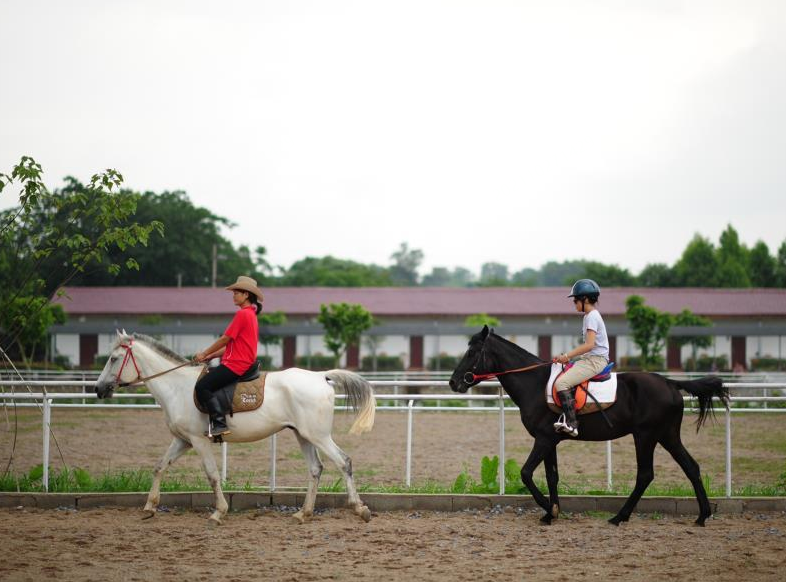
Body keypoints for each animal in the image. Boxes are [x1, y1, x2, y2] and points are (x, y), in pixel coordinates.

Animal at [95, 334, 376, 528]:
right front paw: (149, 507)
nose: (98, 389)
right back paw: (303, 513)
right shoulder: (183, 440)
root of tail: (321, 376)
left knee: (344, 461)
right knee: (316, 469)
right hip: (303, 435)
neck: (177, 387)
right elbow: (159, 466)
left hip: (318, 436)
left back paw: (360, 509)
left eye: (113, 359)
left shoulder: (198, 440)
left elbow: (212, 475)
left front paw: (218, 512)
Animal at [448, 328, 728, 528]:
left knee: (646, 474)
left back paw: (620, 517)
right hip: (667, 435)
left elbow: (526, 473)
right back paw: (702, 516)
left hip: (646, 435)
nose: (453, 382)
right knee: (691, 467)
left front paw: (550, 509)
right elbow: (552, 476)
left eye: (471, 353)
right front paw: (551, 513)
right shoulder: (550, 440)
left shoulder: (543, 439)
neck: (535, 383)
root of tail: (670, 383)